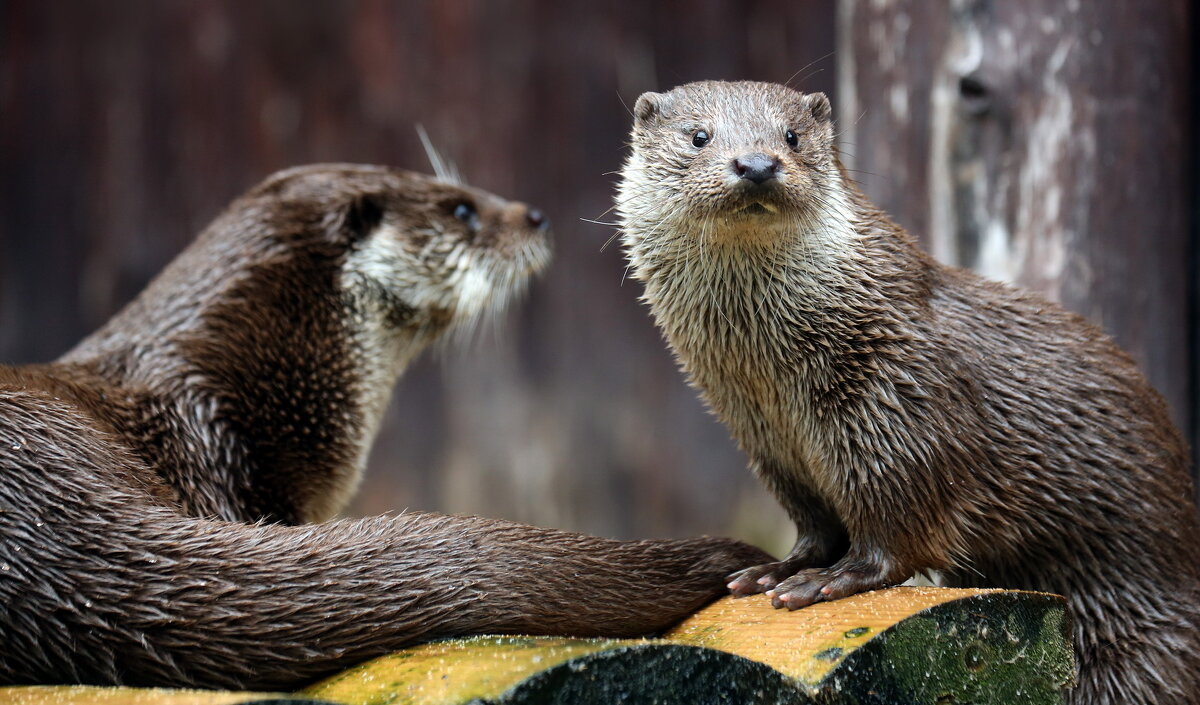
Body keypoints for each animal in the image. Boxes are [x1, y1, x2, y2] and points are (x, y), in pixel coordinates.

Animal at [619, 81, 1200, 705]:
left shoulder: (899, 399)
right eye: (698, 136)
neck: (778, 378)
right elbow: (815, 519)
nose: (756, 163)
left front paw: (834, 579)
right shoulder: (762, 435)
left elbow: (900, 514)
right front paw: (777, 570)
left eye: (791, 136)